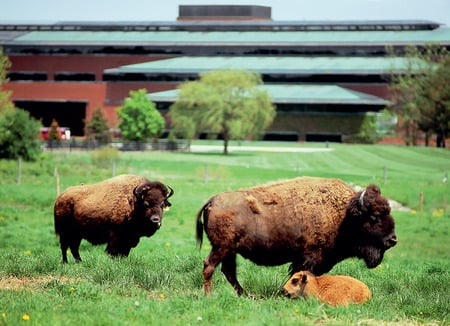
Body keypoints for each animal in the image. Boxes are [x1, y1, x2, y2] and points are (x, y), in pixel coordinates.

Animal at [197, 178, 398, 296]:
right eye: (374, 217)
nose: (393, 240)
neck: (344, 215)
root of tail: (212, 200)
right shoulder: (311, 257)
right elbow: (303, 274)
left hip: (230, 250)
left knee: (228, 271)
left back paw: (247, 296)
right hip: (221, 248)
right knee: (210, 266)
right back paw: (209, 295)